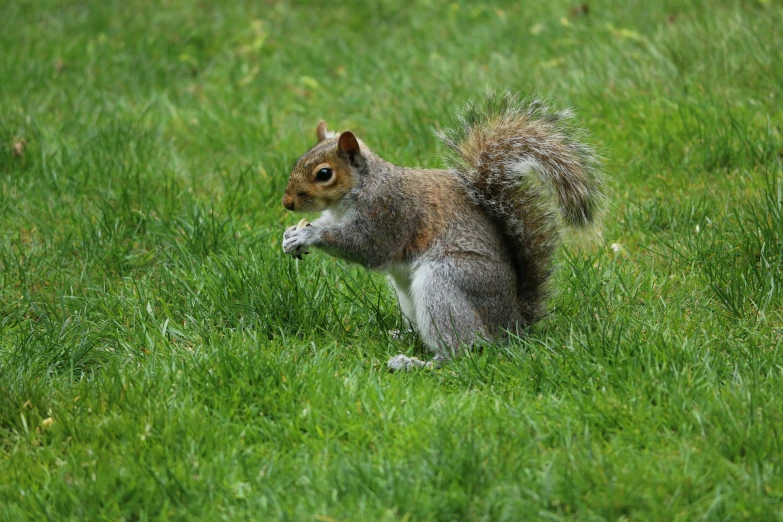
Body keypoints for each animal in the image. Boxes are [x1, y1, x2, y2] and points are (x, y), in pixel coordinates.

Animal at [282, 91, 608, 372]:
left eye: (324, 174)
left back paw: (416, 363)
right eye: (299, 160)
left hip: (447, 280)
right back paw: (401, 336)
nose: (287, 202)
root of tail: (511, 323)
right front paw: (290, 236)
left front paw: (308, 236)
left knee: (462, 349)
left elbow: (365, 247)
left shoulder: (387, 214)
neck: (358, 190)